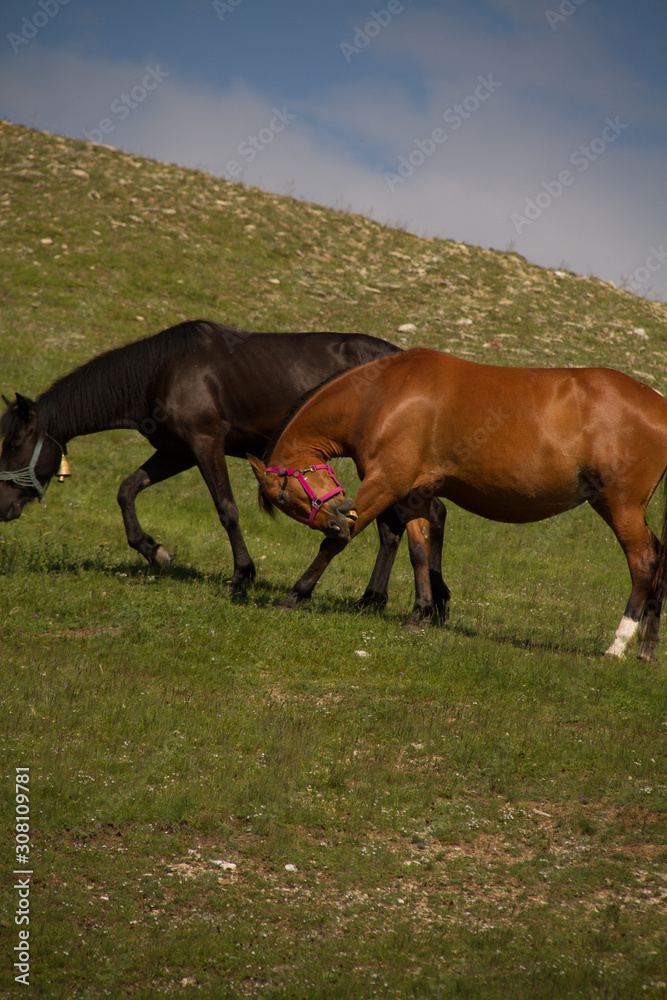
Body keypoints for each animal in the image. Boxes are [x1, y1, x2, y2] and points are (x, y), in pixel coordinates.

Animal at [0, 320, 448, 609]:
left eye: (16, 442)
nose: (4, 506)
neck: (160, 371)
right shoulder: (176, 451)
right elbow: (127, 489)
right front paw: (153, 551)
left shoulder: (205, 444)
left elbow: (226, 510)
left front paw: (241, 577)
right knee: (402, 524)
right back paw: (384, 600)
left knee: (400, 523)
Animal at [249, 347, 667, 659]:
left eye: (284, 496)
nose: (336, 517)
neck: (384, 395)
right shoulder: (415, 491)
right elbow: (419, 550)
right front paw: (419, 611)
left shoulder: (386, 482)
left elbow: (335, 544)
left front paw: (296, 594)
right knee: (659, 557)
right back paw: (646, 647)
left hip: (619, 504)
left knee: (644, 561)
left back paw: (618, 645)